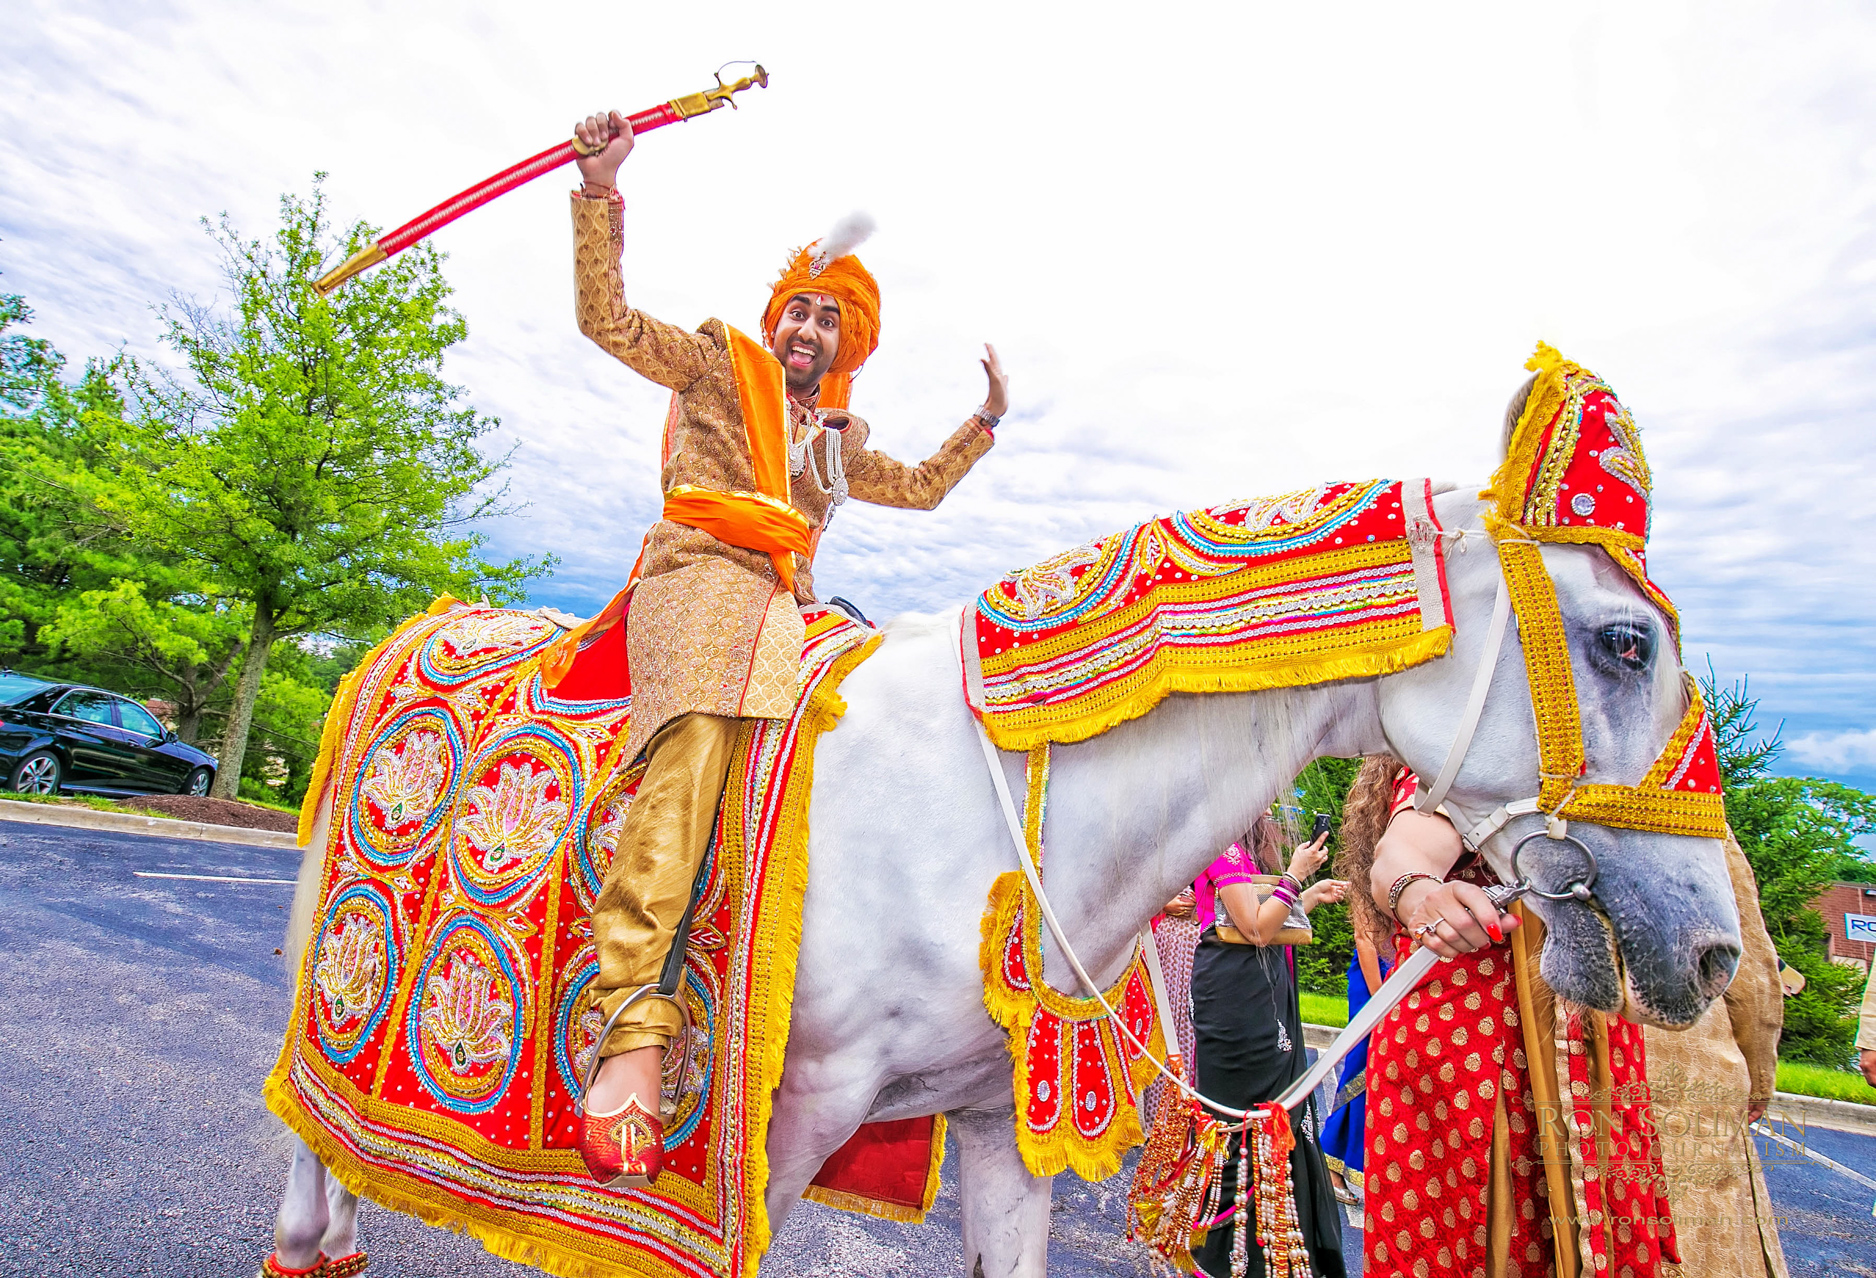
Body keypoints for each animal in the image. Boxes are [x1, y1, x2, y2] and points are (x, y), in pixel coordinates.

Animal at [260, 484, 1725, 1268]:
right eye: (1625, 642)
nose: (1709, 945)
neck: (986, 820)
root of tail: (421, 624)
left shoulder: (989, 1129)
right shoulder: (774, 1135)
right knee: (306, 1116)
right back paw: (308, 1231)